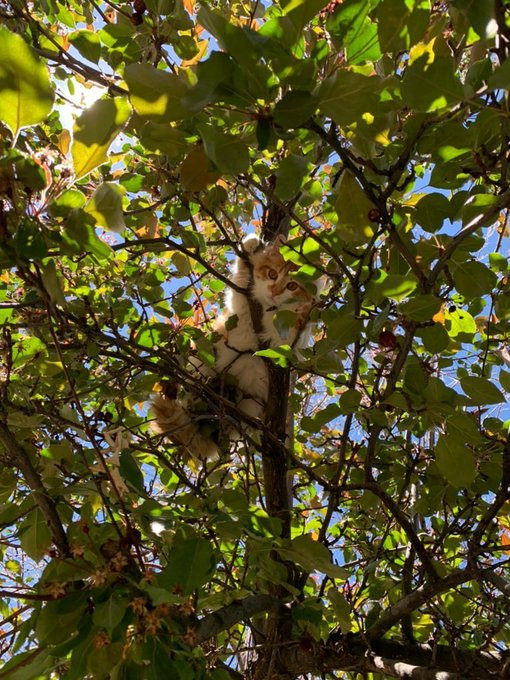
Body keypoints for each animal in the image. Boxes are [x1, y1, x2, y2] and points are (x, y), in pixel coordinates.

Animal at [149, 235, 320, 462]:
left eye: (292, 285)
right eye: (272, 274)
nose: (274, 291)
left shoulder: (289, 339)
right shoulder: (241, 307)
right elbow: (241, 282)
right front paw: (251, 245)